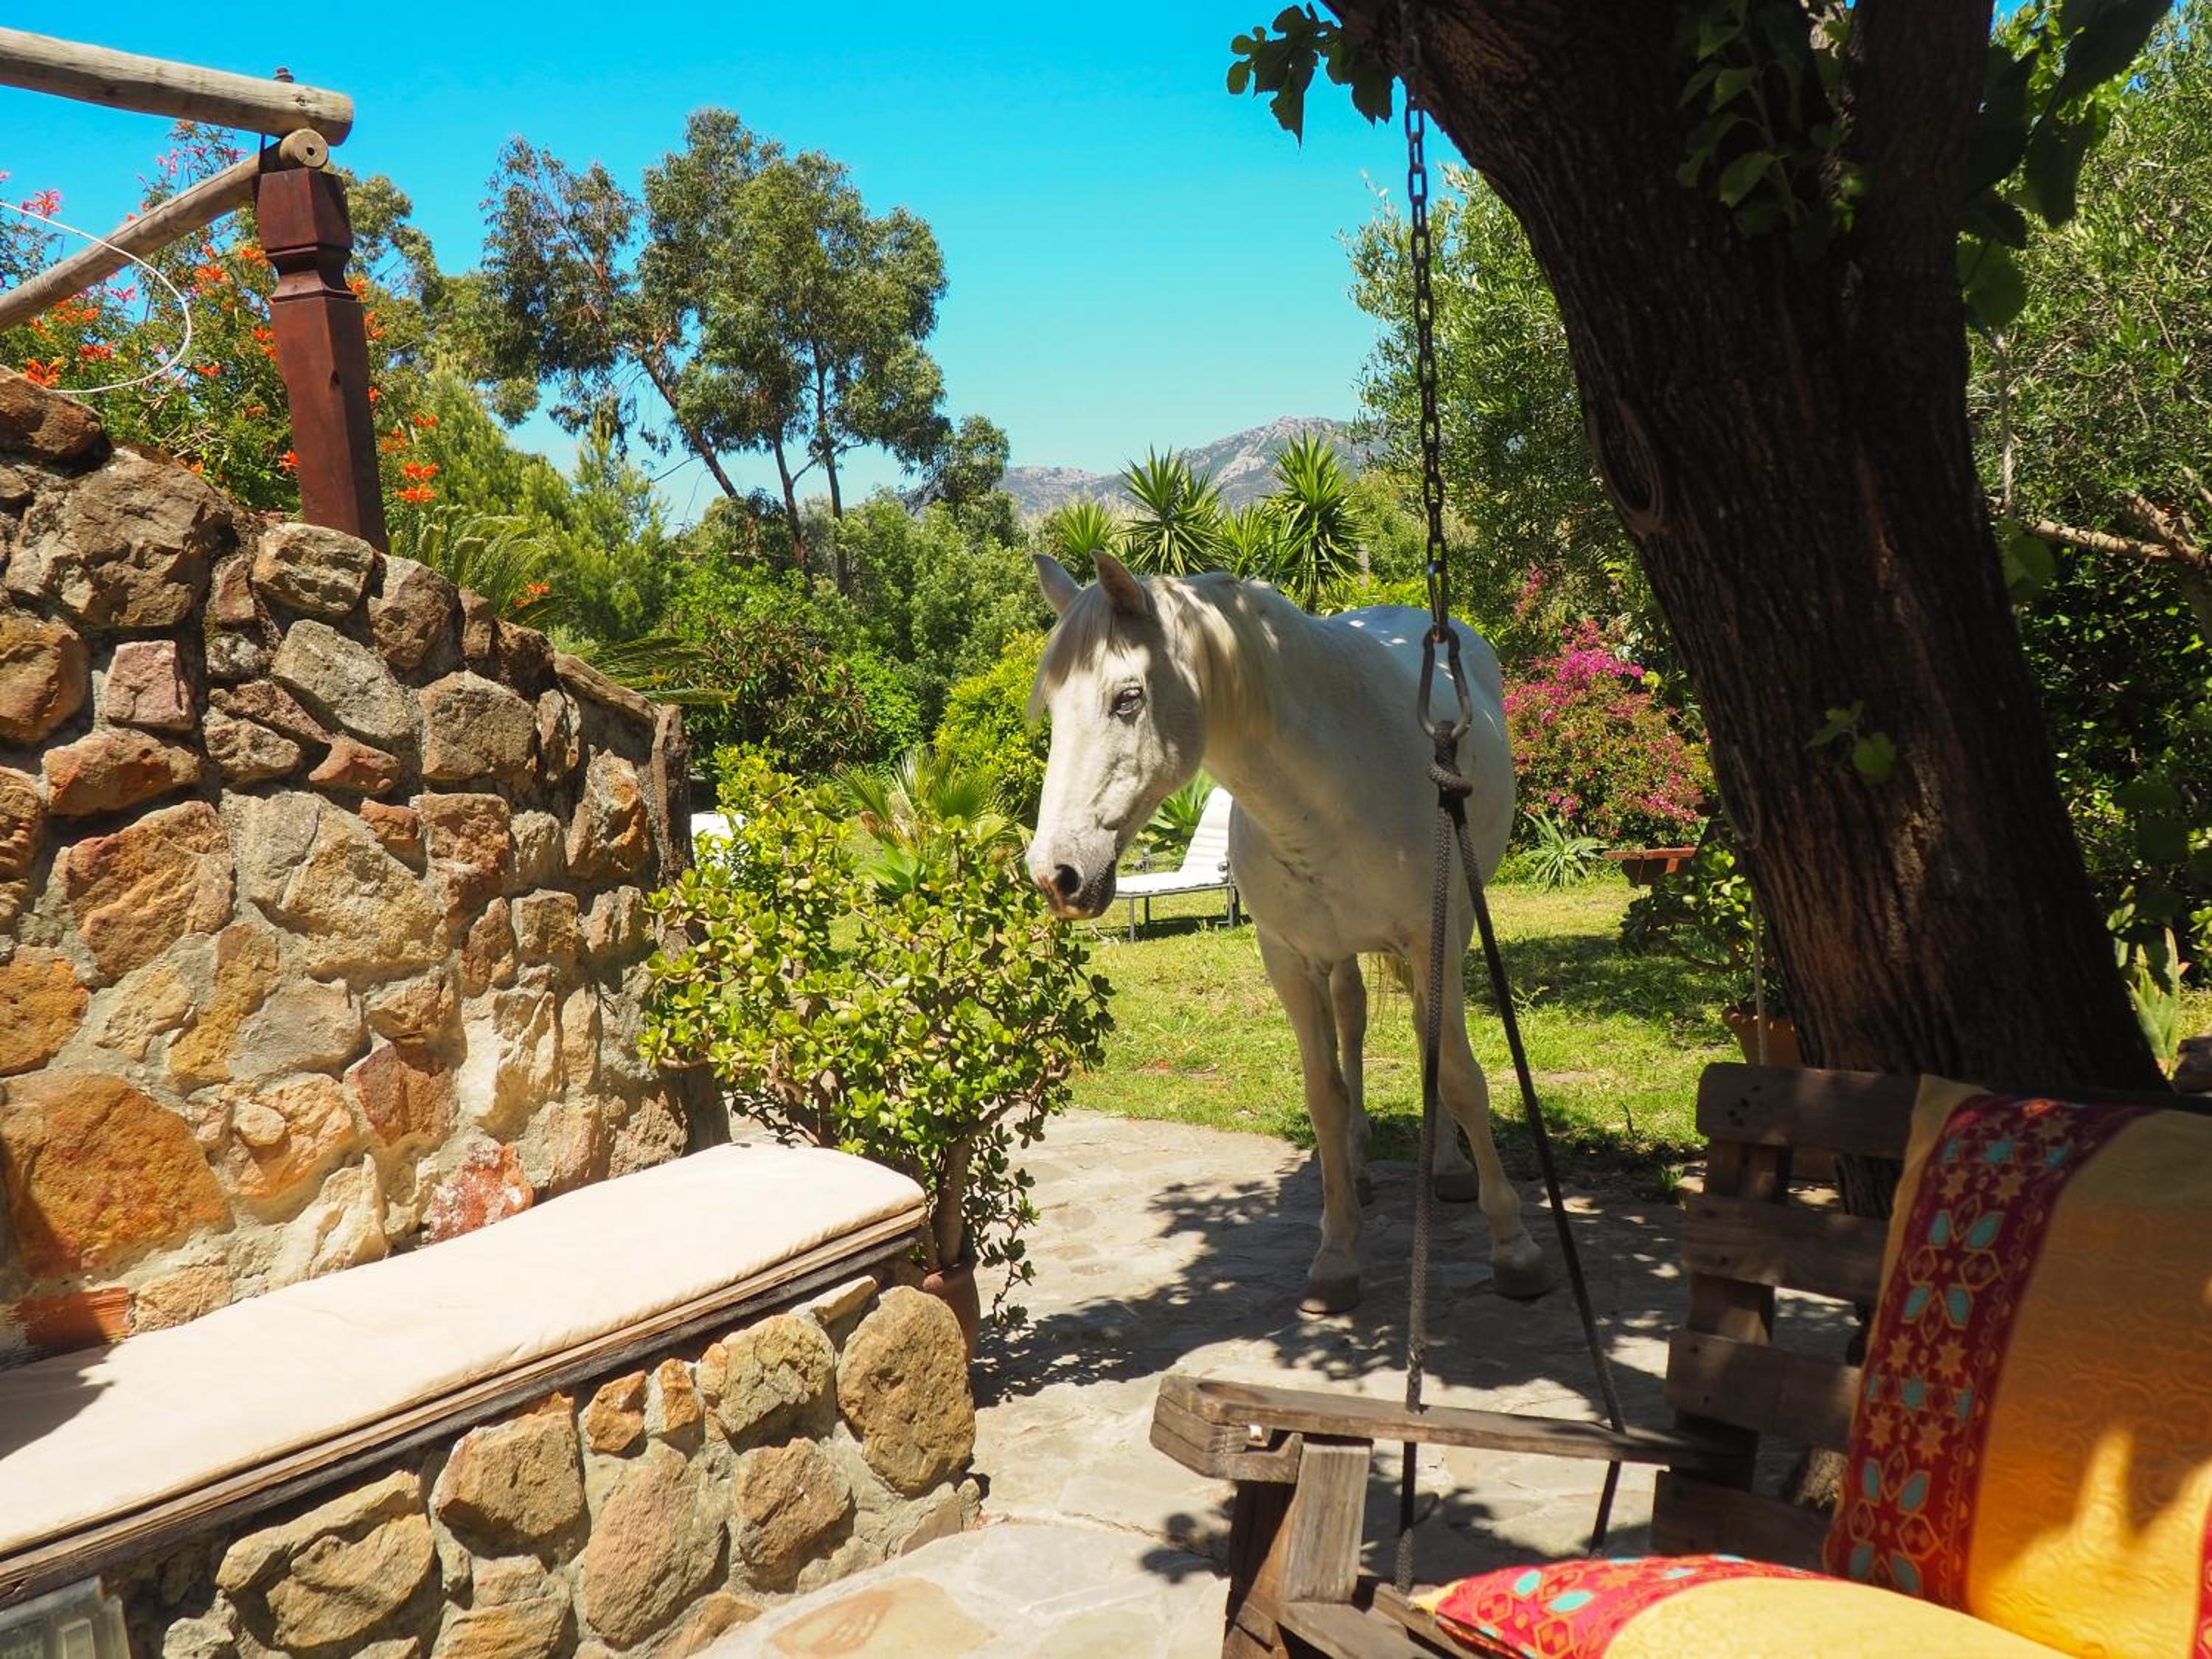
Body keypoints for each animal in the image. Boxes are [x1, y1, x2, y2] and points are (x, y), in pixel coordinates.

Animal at [1024, 550, 1555, 1314]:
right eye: (1052, 710)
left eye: (1128, 698)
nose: (1055, 875)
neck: (1328, 790)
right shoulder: (1290, 960)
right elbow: (1324, 1096)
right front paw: (1337, 1254)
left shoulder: (1430, 940)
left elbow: (1458, 1077)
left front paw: (1514, 1246)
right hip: (1339, 958)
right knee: (1353, 1022)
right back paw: (1358, 1169)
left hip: (1446, 937)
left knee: (1426, 1041)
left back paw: (1449, 1168)